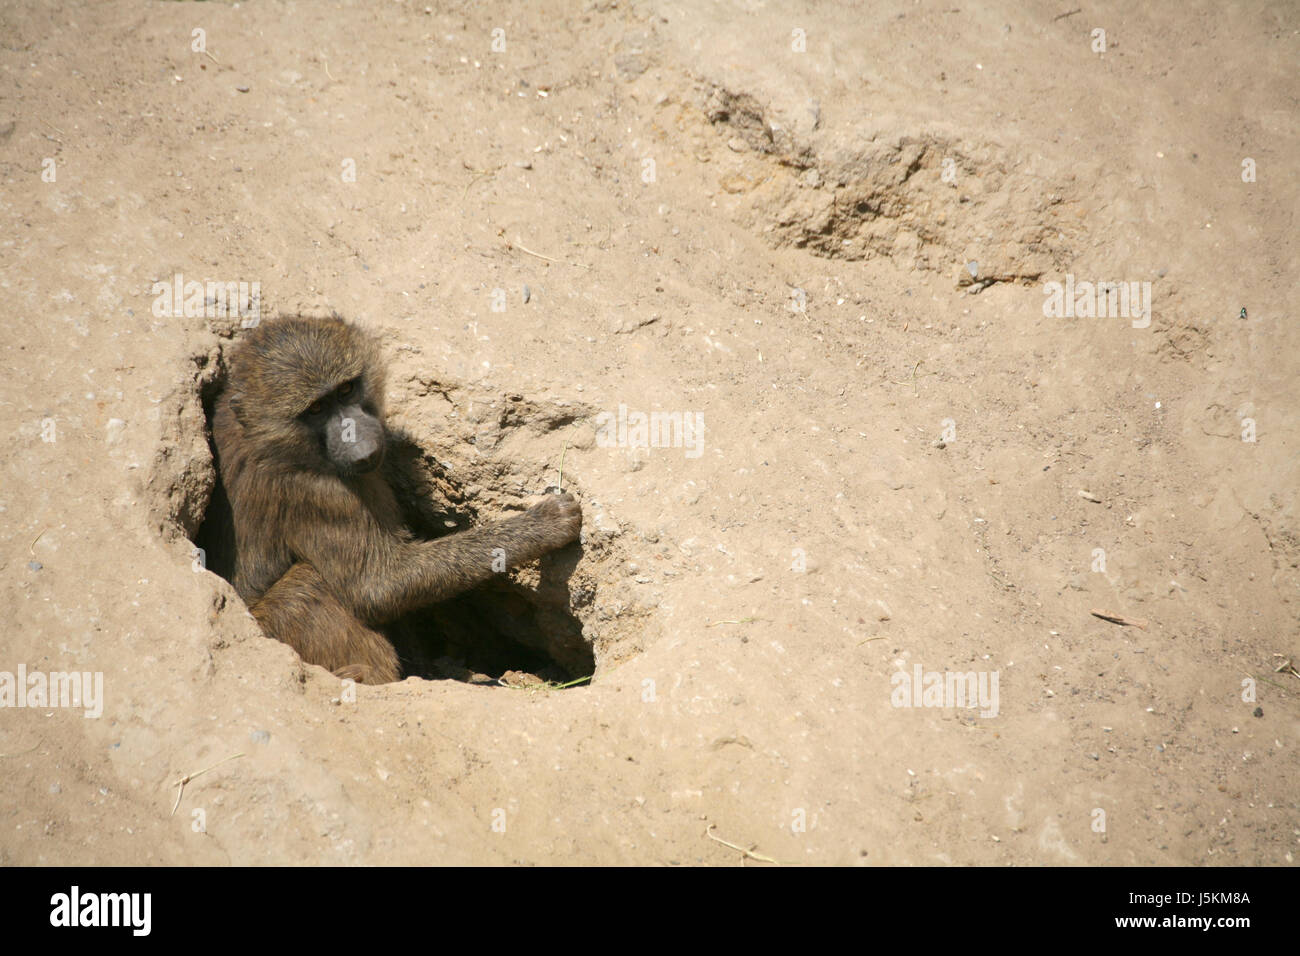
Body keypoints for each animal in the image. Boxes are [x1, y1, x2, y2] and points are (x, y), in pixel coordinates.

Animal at [208, 316, 583, 684]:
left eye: (346, 389)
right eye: (315, 409)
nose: (359, 442)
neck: (269, 439)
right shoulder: (318, 493)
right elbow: (378, 585)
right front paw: (544, 523)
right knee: (306, 586)